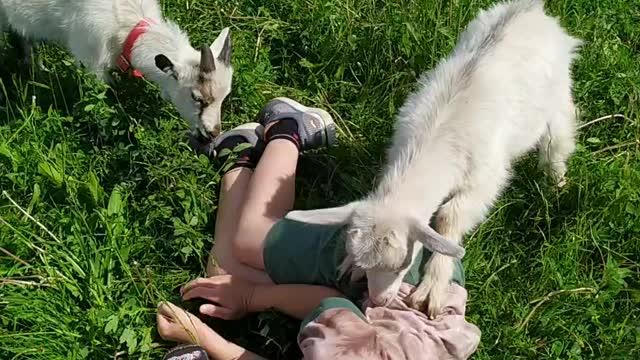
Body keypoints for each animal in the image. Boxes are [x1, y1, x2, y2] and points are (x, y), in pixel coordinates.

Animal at [0, 0, 235, 139]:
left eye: (225, 96)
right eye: (196, 97)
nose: (213, 132)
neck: (125, 25)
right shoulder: (90, 59)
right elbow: (100, 99)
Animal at [284, 0, 580, 316]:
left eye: (402, 265)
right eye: (364, 262)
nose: (378, 301)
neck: (436, 134)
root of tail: (532, 10)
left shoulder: (484, 180)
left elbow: (450, 216)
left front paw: (432, 288)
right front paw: (352, 267)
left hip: (558, 96)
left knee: (558, 137)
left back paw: (556, 183)